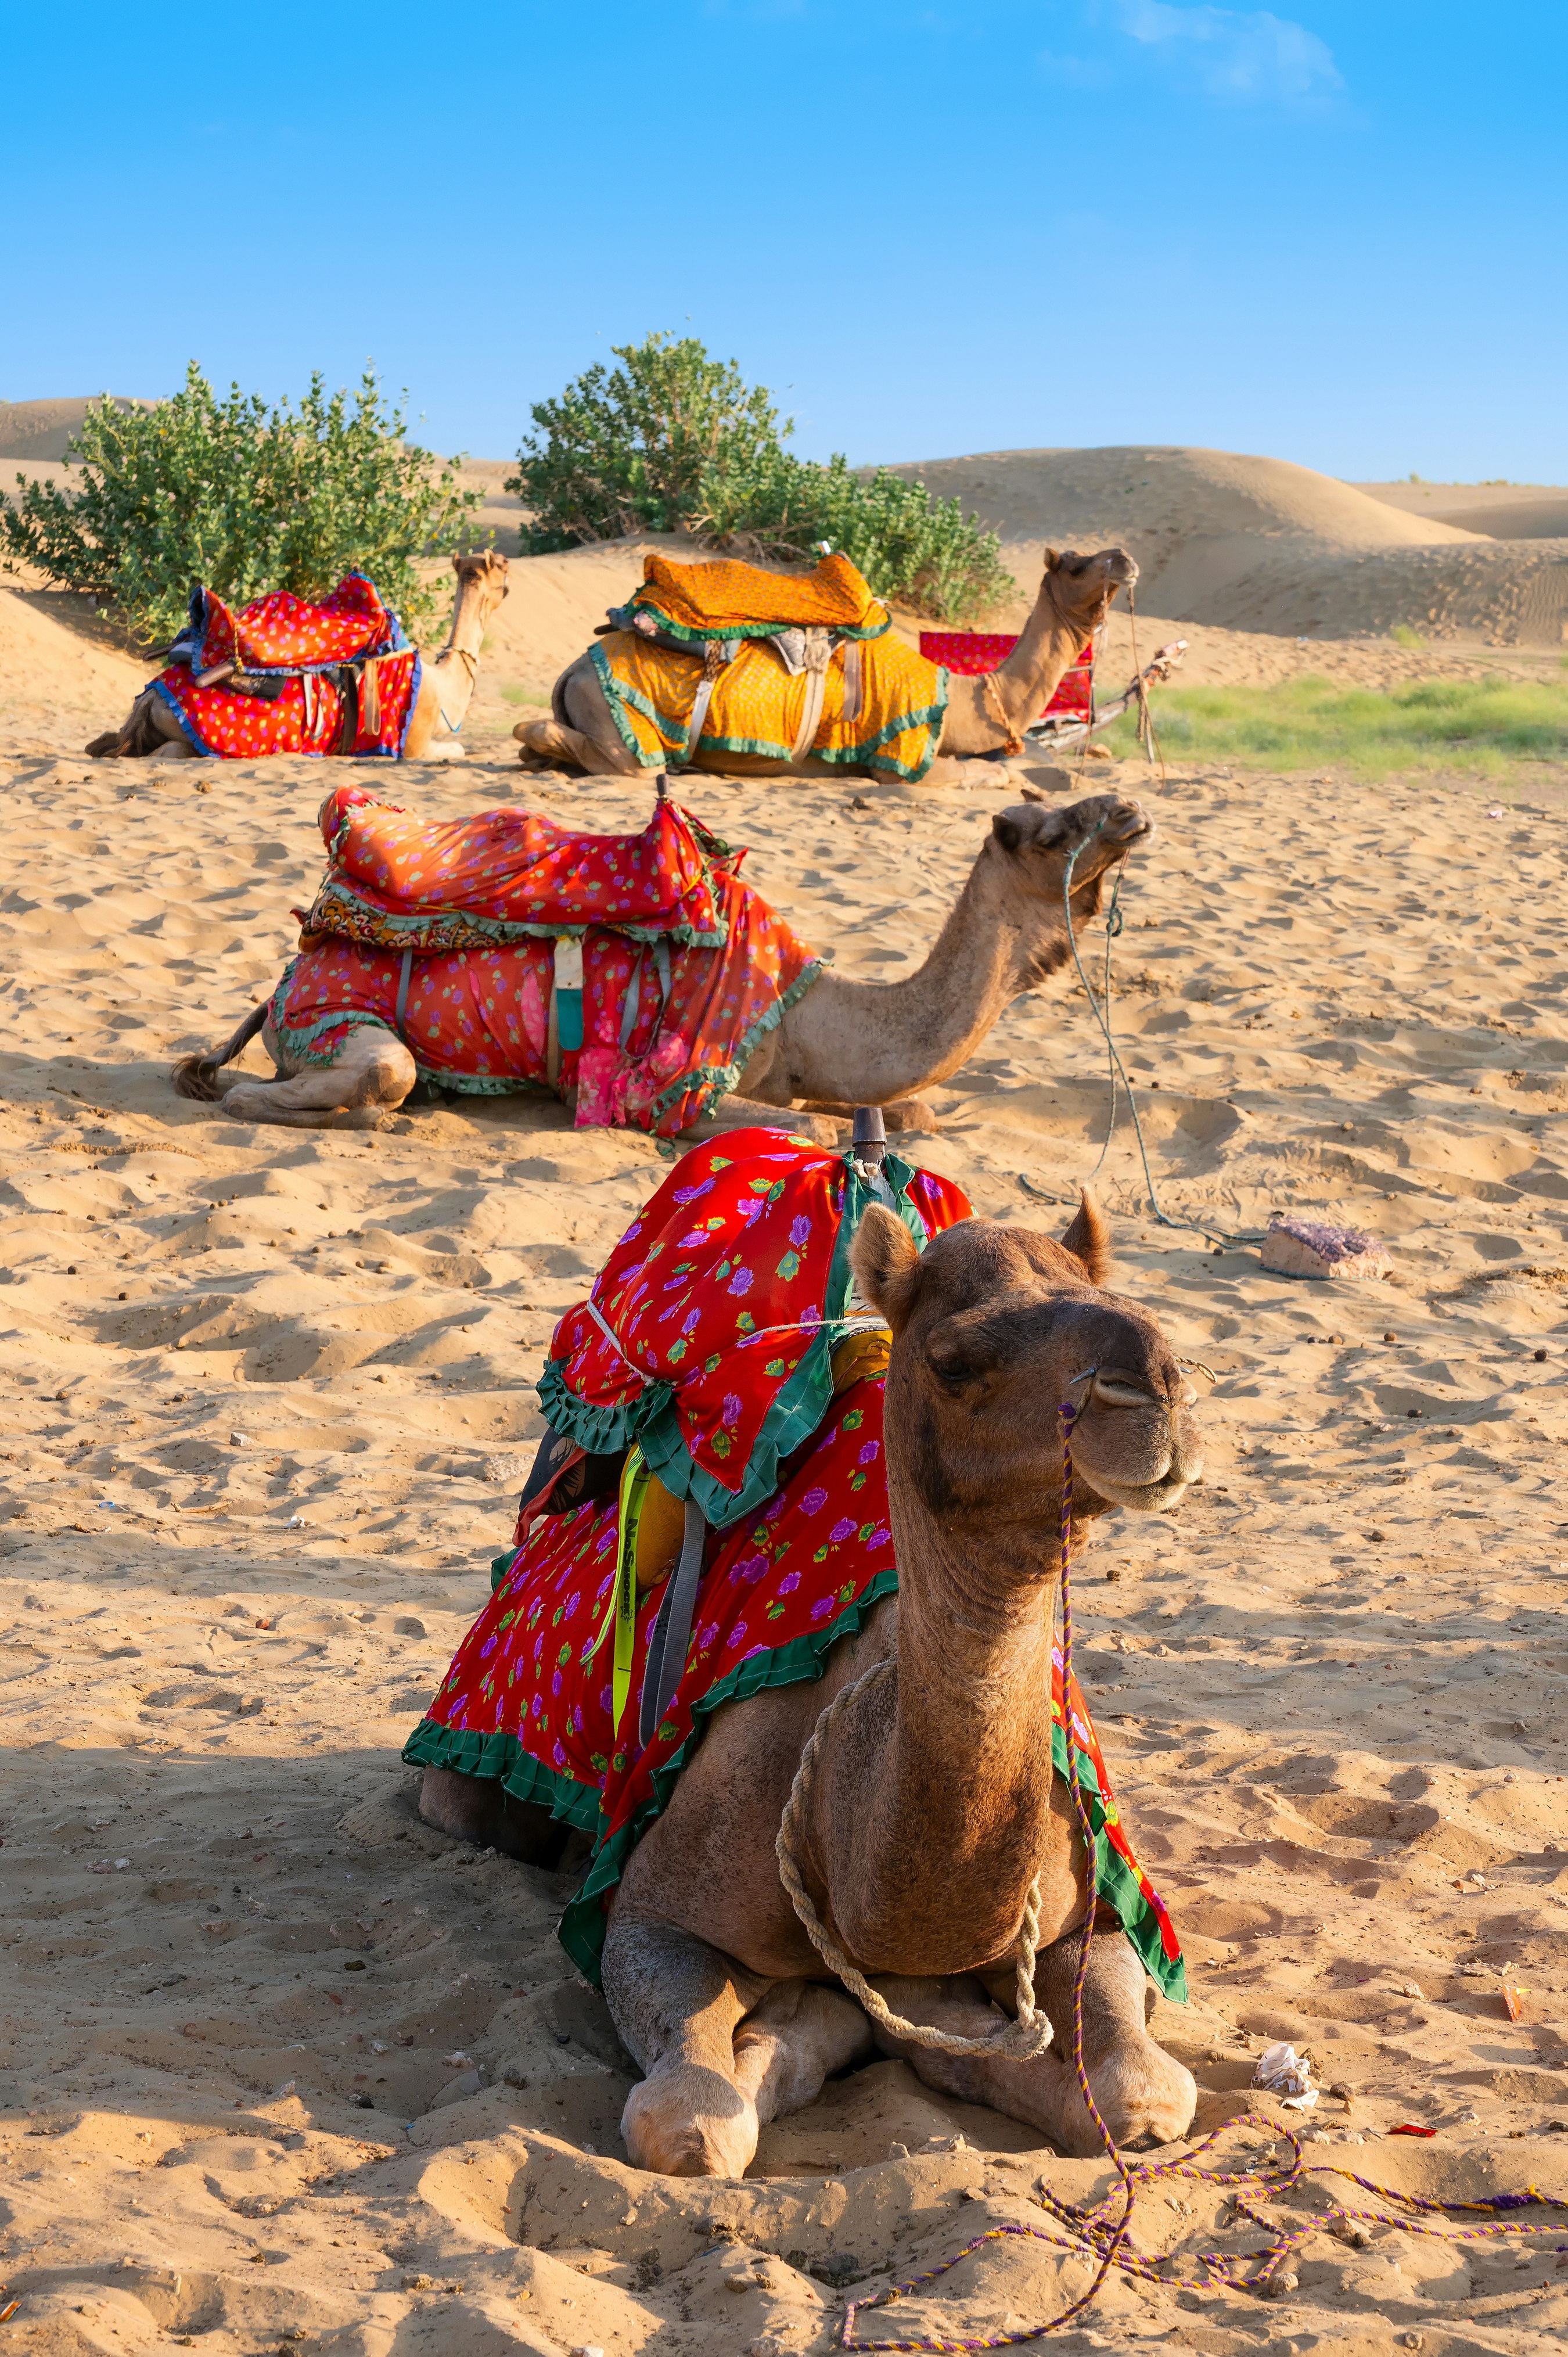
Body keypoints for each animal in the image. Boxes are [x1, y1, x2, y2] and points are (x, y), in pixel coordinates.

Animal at [86, 550, 510, 761]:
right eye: (504, 572)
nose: (509, 582)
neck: (443, 689)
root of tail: (153, 695)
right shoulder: (412, 745)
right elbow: (456, 750)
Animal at [170, 790, 1152, 1132]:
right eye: (1054, 831)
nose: (1133, 810)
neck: (813, 1010)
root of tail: (293, 972)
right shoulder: (688, 1090)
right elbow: (817, 1132)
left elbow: (908, 1112)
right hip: (335, 1025)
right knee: (358, 1079)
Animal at [419, 1196, 1203, 2174]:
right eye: (954, 1360)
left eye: (1136, 1304)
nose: (1157, 1389)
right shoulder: (646, 1916)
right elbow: (691, 2115)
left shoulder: (1097, 1911)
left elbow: (1141, 2093)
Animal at [514, 546, 1136, 784]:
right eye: (1076, 565)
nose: (1124, 559)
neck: (961, 699)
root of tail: (574, 669)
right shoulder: (899, 762)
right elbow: (987, 774)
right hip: (622, 727)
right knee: (580, 745)